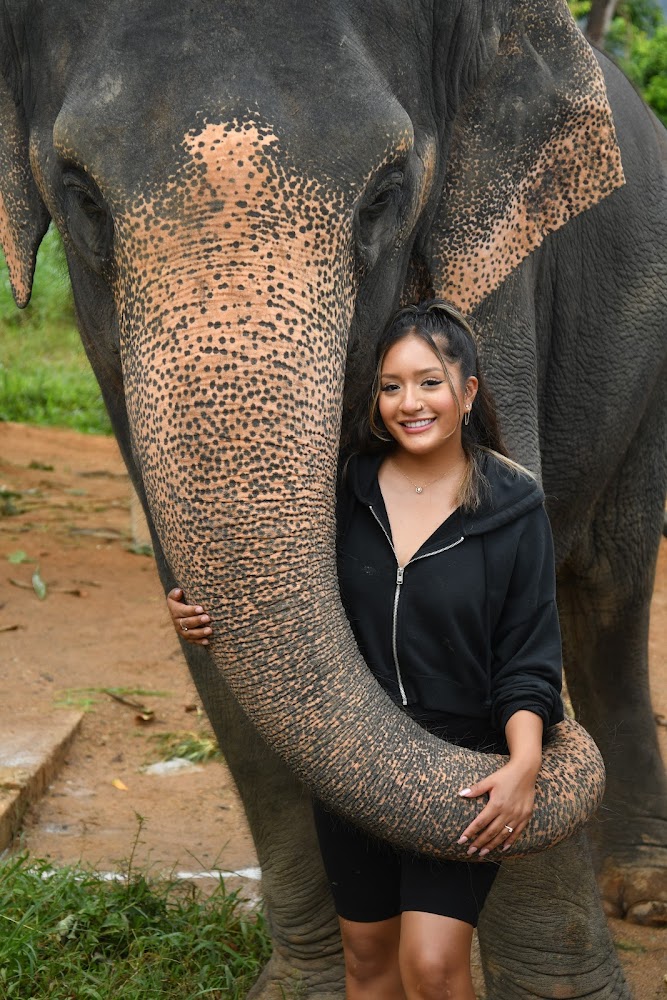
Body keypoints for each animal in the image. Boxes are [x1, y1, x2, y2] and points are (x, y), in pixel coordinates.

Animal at [1, 0, 666, 996]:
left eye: (385, 193)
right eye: (81, 194)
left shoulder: (492, 269)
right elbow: (213, 650)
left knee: (609, 590)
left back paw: (642, 891)